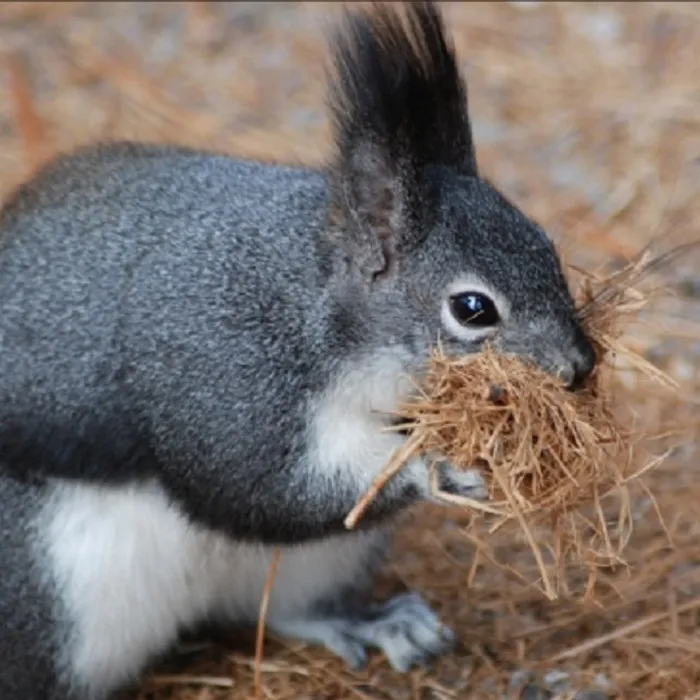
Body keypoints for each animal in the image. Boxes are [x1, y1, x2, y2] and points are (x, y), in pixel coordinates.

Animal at [0, 2, 596, 698]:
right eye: (473, 309)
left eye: (547, 247)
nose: (580, 366)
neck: (315, 307)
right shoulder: (220, 369)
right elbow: (261, 483)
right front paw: (447, 468)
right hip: (51, 593)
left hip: (316, 565)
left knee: (286, 609)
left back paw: (373, 623)